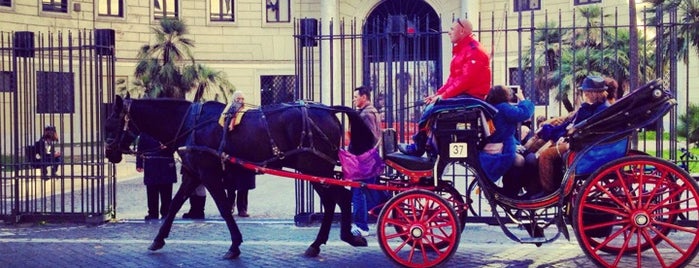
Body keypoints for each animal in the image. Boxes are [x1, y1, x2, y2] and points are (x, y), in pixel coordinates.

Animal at [104, 95, 374, 258]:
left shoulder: (209, 174)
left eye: (111, 123)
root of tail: (328, 110)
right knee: (335, 200)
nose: (109, 153)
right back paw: (321, 243)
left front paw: (234, 245)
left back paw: (342, 237)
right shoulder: (193, 175)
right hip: (319, 171)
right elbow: (173, 205)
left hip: (315, 168)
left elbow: (224, 208)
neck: (190, 123)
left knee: (339, 198)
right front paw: (158, 239)